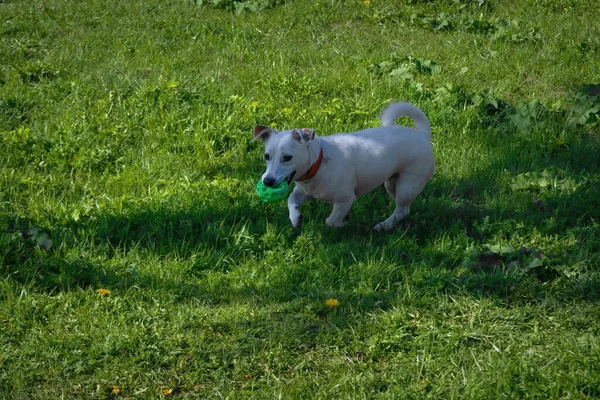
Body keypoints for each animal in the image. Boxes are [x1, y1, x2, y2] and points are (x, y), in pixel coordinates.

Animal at [254, 101, 436, 231]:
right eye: (266, 156)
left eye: (287, 158)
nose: (267, 181)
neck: (319, 164)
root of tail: (422, 134)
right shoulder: (303, 193)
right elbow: (291, 200)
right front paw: (295, 218)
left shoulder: (345, 199)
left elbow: (331, 220)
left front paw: (342, 222)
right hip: (392, 183)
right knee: (404, 208)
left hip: (408, 185)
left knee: (402, 210)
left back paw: (384, 225)